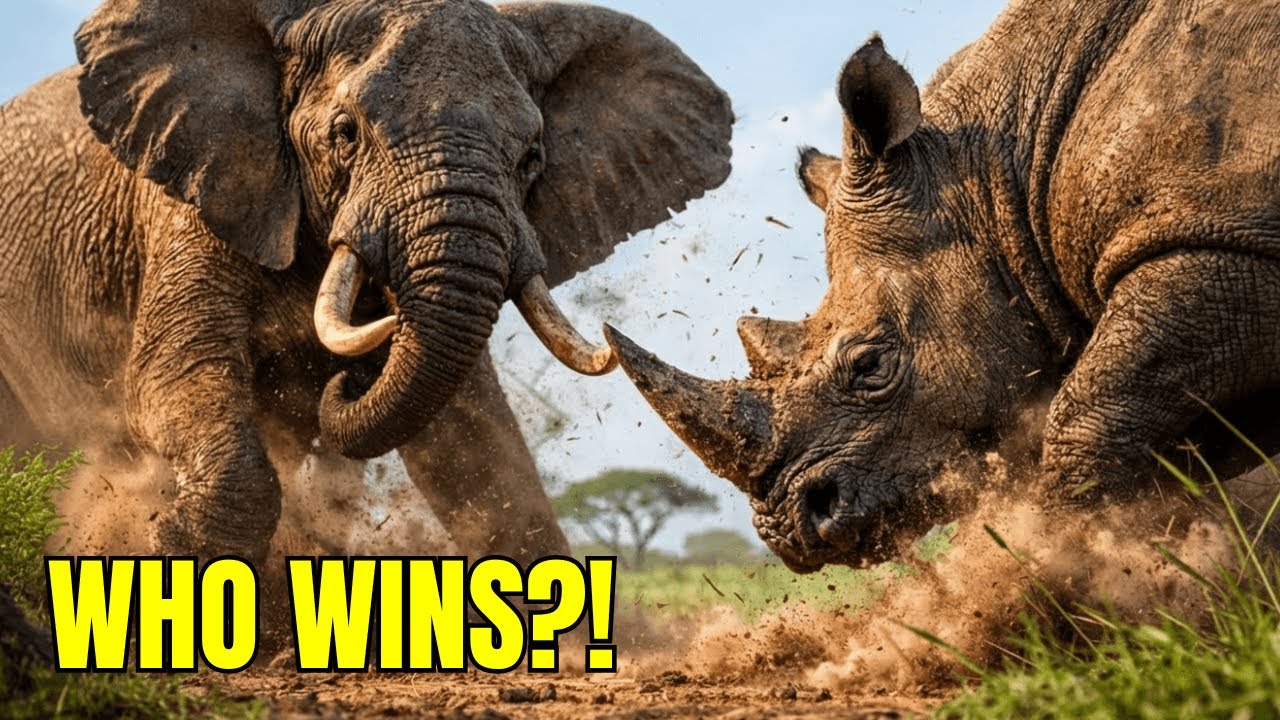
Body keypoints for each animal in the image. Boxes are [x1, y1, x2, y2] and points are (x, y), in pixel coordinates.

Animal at [0, 0, 732, 563]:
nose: (343, 380)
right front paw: (171, 556)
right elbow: (169, 375)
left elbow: (467, 439)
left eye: (532, 157)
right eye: (346, 132)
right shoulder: (196, 197)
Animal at [606, 0, 1280, 571]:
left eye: (869, 364)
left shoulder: (1213, 241)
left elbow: (1087, 430)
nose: (785, 529)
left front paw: (1081, 597)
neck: (997, 178)